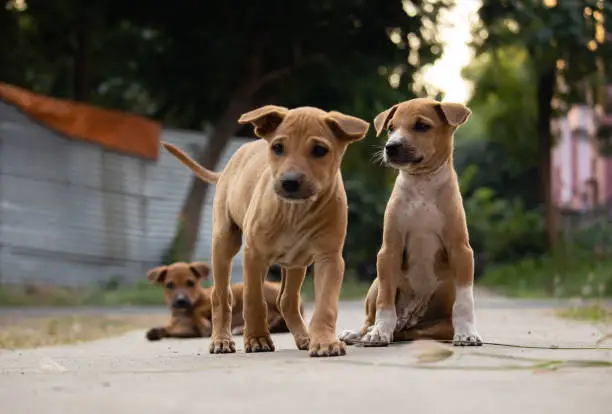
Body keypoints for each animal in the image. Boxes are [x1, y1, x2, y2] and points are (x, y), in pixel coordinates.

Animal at [146, 260, 304, 342]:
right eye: (169, 285)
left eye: (190, 283)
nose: (180, 300)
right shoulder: (185, 329)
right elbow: (170, 329)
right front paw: (156, 331)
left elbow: (199, 311)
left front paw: (204, 325)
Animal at [338, 98, 480, 348]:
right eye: (390, 128)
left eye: (422, 126)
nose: (391, 146)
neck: (422, 183)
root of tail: (409, 317)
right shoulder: (389, 251)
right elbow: (385, 302)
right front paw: (379, 333)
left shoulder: (461, 251)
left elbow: (464, 301)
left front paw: (466, 333)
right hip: (376, 282)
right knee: (372, 317)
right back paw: (362, 332)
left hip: (439, 326)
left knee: (412, 332)